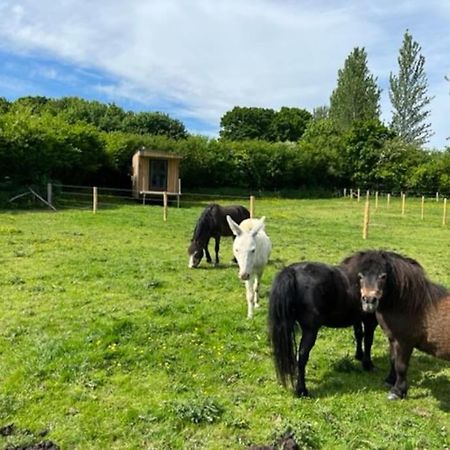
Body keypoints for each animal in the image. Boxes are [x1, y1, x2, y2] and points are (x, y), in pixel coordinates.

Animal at [268, 260, 378, 398]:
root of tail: (292, 272)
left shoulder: (357, 318)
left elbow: (359, 334)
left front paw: (359, 355)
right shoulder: (370, 320)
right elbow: (368, 340)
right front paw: (368, 364)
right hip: (310, 331)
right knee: (302, 356)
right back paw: (302, 390)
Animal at [342, 250, 450, 400]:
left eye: (383, 276)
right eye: (360, 276)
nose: (369, 301)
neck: (411, 306)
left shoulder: (405, 342)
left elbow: (401, 365)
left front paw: (397, 391)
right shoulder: (393, 339)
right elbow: (392, 359)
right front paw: (390, 381)